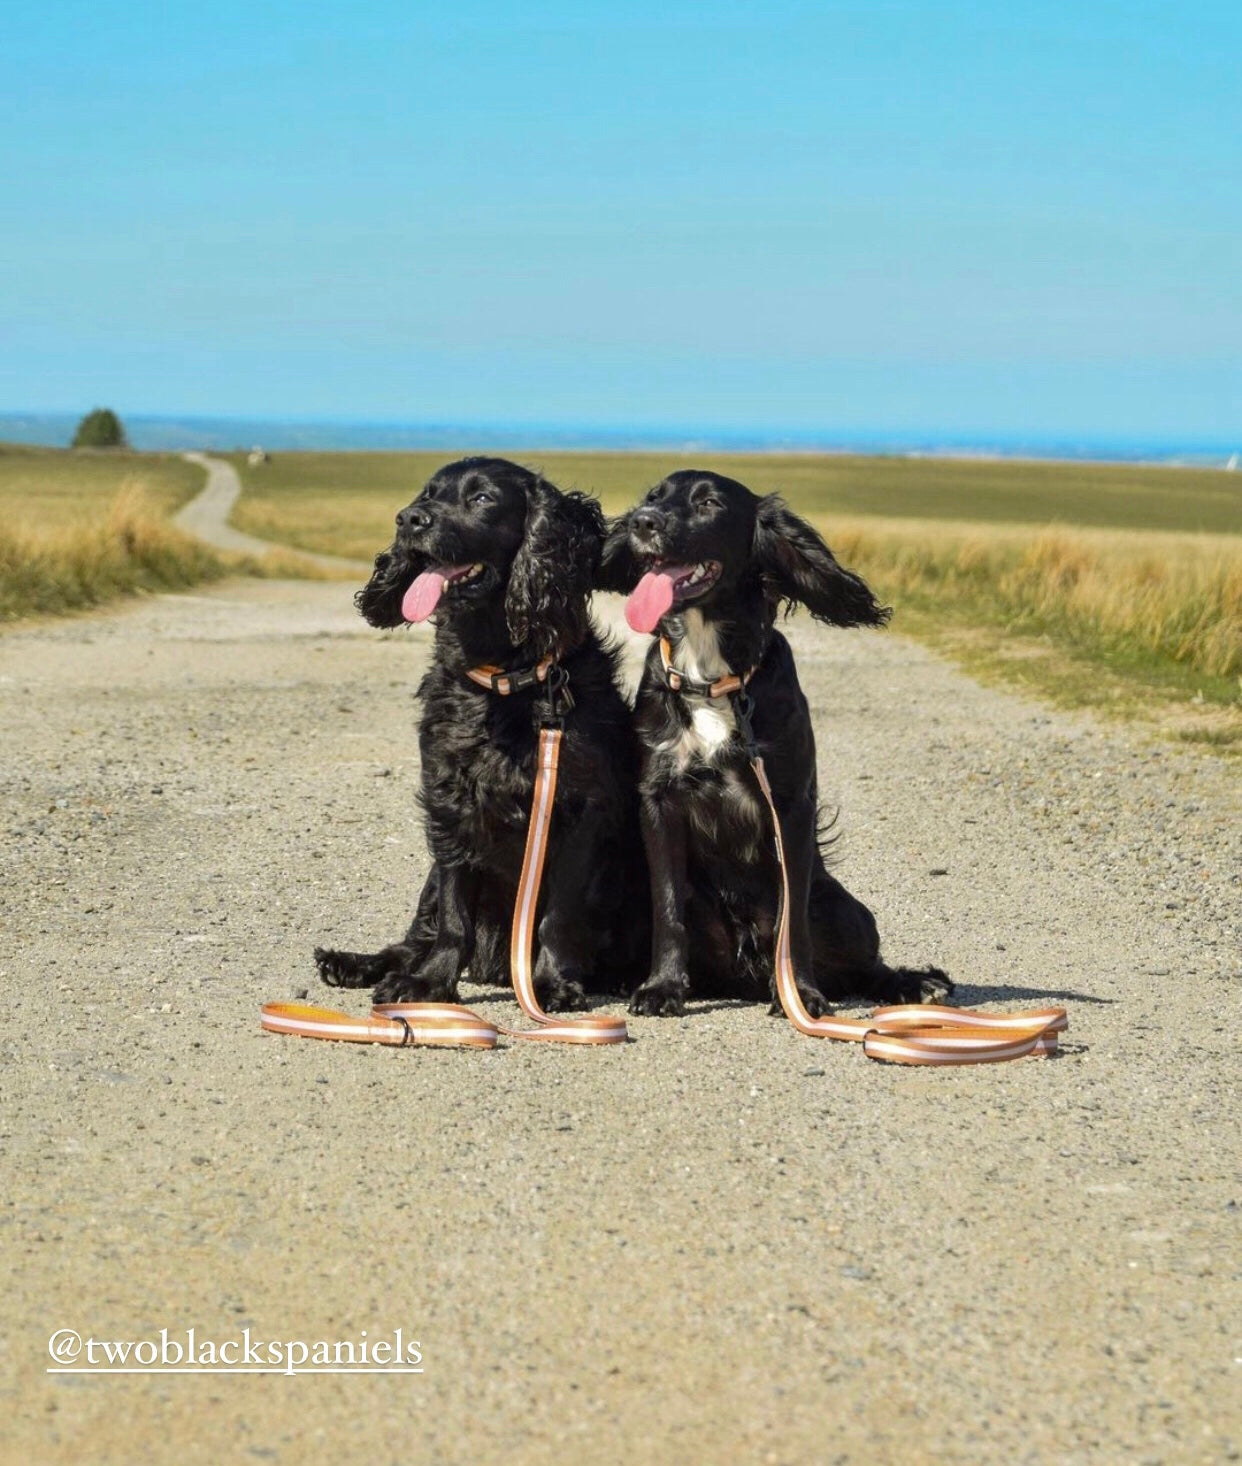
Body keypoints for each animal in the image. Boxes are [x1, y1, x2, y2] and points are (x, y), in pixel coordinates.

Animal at [315, 454, 645, 1008]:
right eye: (427, 494)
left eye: (483, 499)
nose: (409, 519)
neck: (504, 679)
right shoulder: (451, 804)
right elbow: (453, 917)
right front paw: (428, 983)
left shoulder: (580, 809)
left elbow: (558, 916)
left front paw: (551, 984)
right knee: (413, 939)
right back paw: (353, 964)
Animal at [601, 469, 950, 1020]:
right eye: (654, 497)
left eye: (709, 503)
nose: (642, 522)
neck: (713, 676)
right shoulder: (658, 796)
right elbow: (669, 905)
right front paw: (662, 988)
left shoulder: (788, 801)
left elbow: (794, 916)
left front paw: (799, 994)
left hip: (847, 911)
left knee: (865, 966)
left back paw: (912, 985)